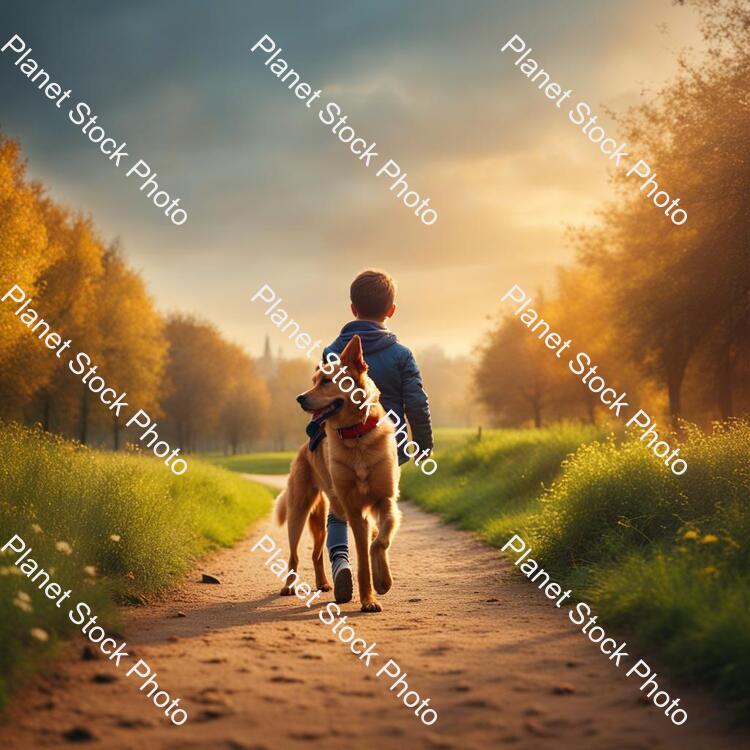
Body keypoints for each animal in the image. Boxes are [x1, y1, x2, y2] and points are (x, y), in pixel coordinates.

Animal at [274, 338, 402, 612]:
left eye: (326, 381)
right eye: (313, 380)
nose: (299, 398)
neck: (357, 435)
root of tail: (302, 449)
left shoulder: (385, 500)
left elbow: (380, 541)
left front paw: (383, 580)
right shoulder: (354, 510)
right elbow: (362, 560)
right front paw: (368, 598)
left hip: (322, 517)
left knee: (316, 554)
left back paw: (324, 582)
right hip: (298, 513)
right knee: (294, 556)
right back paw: (289, 586)